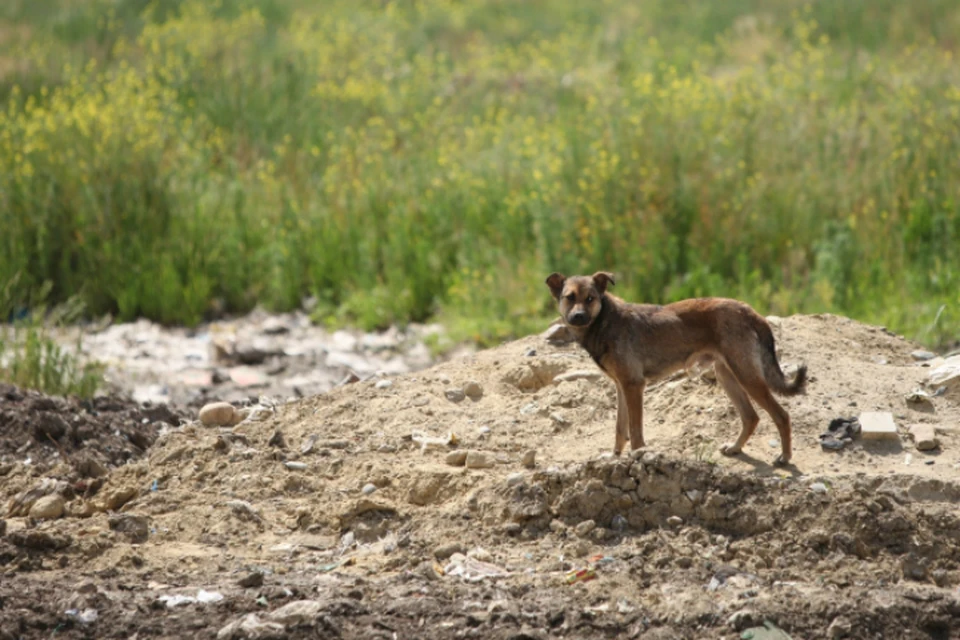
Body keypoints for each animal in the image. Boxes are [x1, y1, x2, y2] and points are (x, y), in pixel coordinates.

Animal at [544, 270, 808, 464]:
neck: (604, 320)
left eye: (590, 298)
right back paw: (735, 448)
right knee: (751, 417)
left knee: (781, 415)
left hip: (747, 377)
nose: (578, 317)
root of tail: (751, 312)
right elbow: (620, 429)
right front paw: (615, 456)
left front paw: (638, 456)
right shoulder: (621, 387)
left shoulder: (633, 386)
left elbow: (635, 431)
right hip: (727, 376)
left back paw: (785, 457)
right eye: (569, 297)